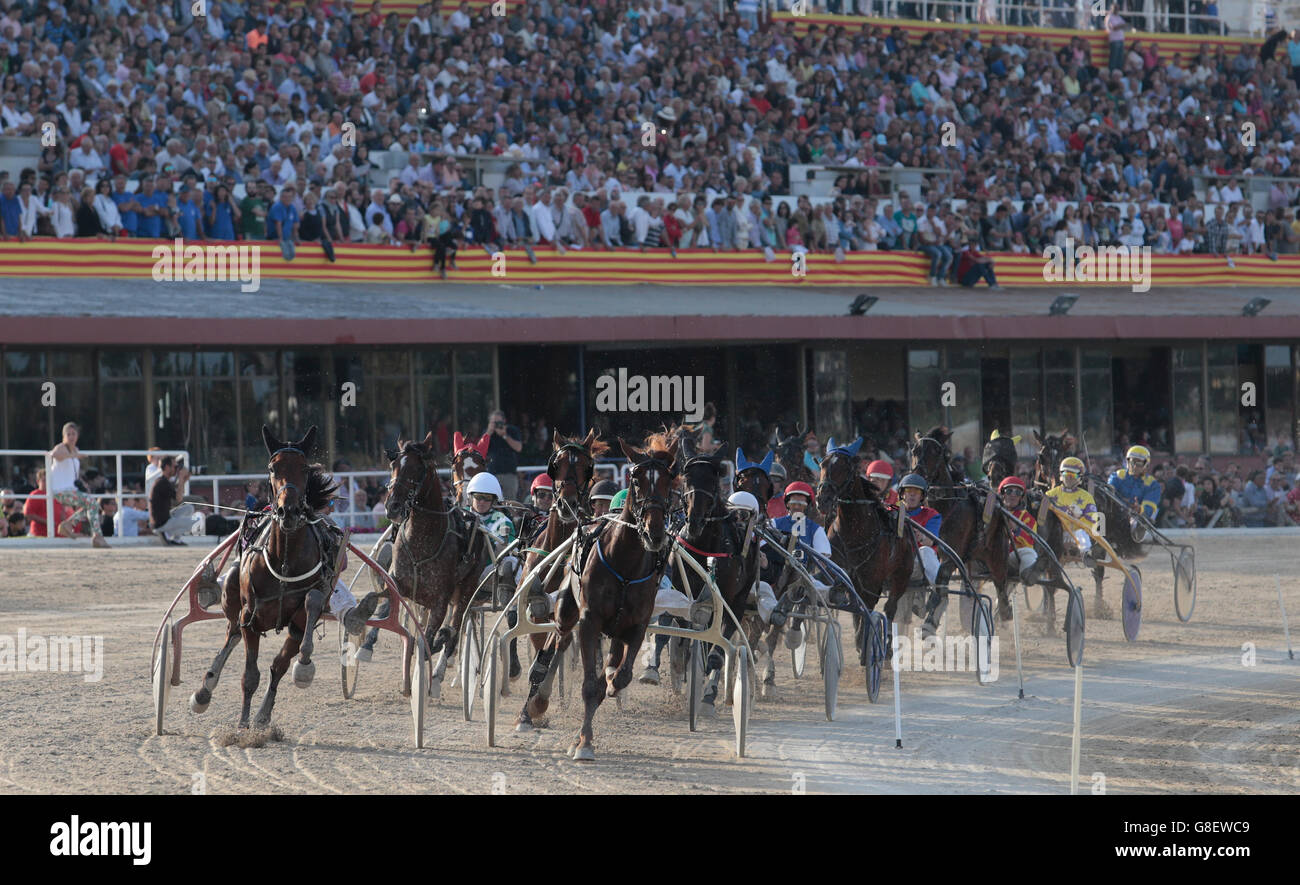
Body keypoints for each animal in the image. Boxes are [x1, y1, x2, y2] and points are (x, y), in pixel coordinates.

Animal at [189, 423, 343, 727]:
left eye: (305, 468)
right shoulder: (252, 618)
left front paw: (301, 668)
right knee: (231, 634)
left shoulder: (300, 619)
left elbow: (283, 660)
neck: (283, 561)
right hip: (232, 598)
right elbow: (250, 676)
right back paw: (204, 690)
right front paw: (242, 725)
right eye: (273, 468)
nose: (289, 511)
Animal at [509, 428, 605, 732]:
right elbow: (538, 640)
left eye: (587, 468)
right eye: (556, 464)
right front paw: (527, 710)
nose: (567, 504)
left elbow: (553, 648)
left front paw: (534, 706)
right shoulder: (535, 609)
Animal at [530, 431, 676, 753]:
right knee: (557, 641)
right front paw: (584, 742)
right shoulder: (589, 621)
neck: (624, 562)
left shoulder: (638, 624)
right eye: (637, 480)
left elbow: (620, 676)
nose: (654, 531)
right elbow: (588, 686)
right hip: (566, 611)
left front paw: (609, 684)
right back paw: (538, 701)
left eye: (668, 481)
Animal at [904, 426, 1013, 621]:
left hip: (997, 554)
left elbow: (941, 579)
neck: (945, 507)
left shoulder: (953, 554)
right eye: (915, 451)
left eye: (937, 451)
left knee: (1002, 593)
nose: (917, 477)